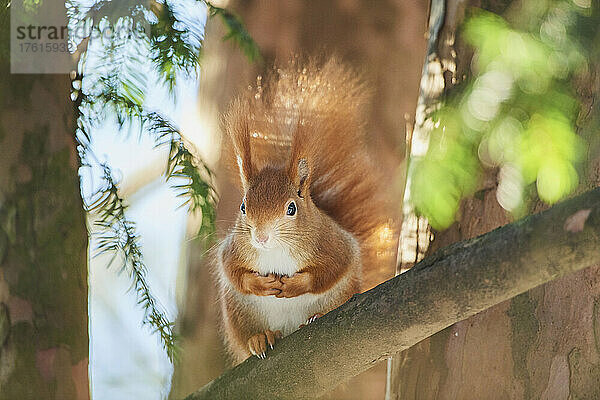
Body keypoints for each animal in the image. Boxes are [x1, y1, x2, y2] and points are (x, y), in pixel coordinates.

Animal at [216, 58, 394, 362]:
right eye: (243, 206)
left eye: (291, 208)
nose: (261, 237)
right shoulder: (234, 249)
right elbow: (233, 272)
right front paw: (260, 285)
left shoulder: (333, 244)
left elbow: (331, 270)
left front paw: (295, 285)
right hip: (239, 313)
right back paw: (260, 338)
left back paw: (316, 316)